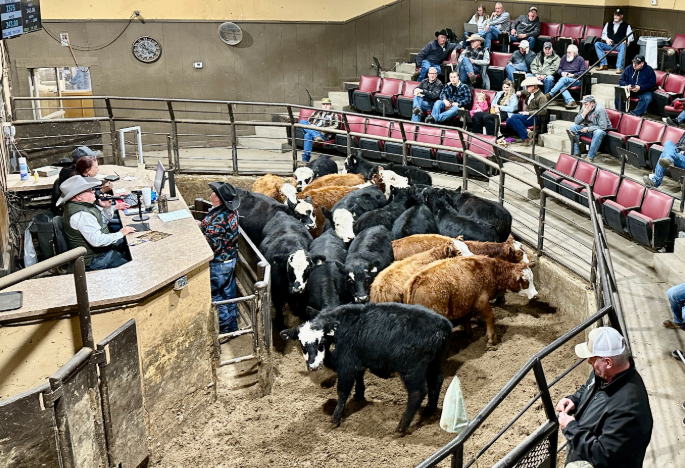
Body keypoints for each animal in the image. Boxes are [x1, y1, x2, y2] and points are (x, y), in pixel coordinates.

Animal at [280, 302, 453, 433]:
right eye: (302, 344)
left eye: (321, 341)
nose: (313, 366)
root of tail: (443, 325)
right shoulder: (357, 361)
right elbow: (359, 376)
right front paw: (359, 395)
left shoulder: (346, 366)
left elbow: (342, 391)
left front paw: (335, 419)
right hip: (434, 363)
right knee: (437, 381)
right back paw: (429, 409)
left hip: (412, 370)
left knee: (417, 392)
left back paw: (401, 427)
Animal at [403, 256, 537, 347]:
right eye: (525, 281)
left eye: (532, 278)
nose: (536, 295)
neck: (490, 271)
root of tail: (415, 281)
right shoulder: (481, 302)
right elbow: (490, 318)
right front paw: (492, 339)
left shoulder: (466, 302)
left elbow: (466, 318)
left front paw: (469, 333)